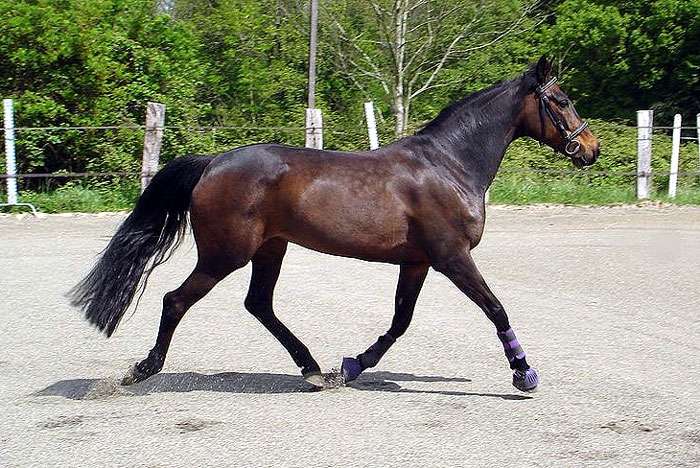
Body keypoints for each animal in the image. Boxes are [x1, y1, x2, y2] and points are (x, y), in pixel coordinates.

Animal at [70, 56, 599, 392]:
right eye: (562, 100)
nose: (590, 149)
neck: (449, 165)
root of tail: (212, 162)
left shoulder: (418, 262)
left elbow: (400, 321)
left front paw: (354, 365)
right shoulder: (452, 257)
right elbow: (496, 309)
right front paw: (524, 374)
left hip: (271, 249)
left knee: (258, 304)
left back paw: (313, 369)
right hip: (226, 255)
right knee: (175, 300)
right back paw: (143, 369)